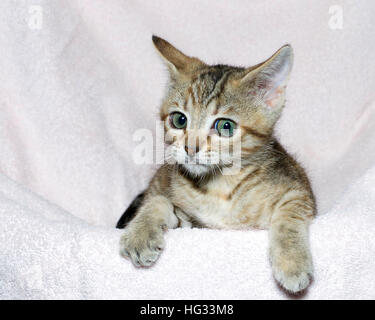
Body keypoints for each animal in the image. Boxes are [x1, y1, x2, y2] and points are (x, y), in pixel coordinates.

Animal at [118, 36, 318, 294]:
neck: (221, 186)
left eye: (225, 126)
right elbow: (158, 200)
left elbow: (289, 215)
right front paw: (140, 234)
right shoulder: (192, 224)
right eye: (179, 120)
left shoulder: (298, 189)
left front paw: (292, 262)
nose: (190, 148)